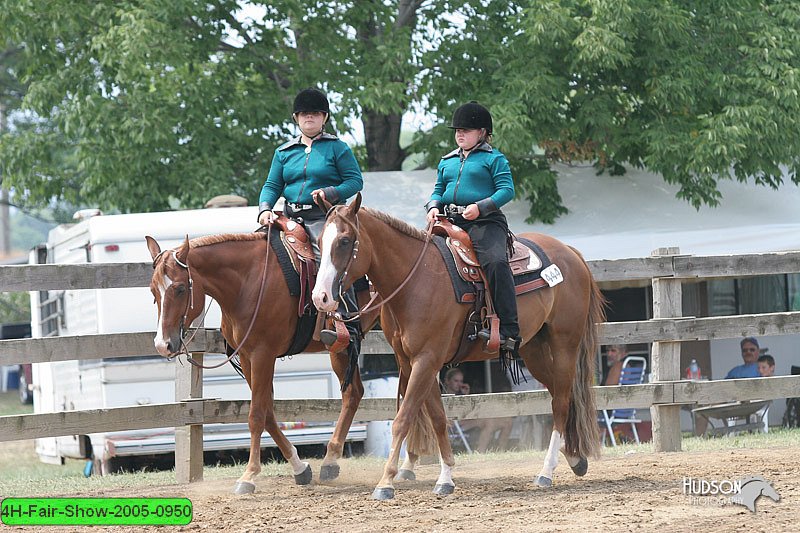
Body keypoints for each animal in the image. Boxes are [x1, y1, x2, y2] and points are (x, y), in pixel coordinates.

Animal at [145, 233, 378, 494]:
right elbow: (267, 413)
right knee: (354, 393)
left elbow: (256, 415)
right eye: (153, 290)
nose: (162, 344)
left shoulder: (262, 355)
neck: (249, 282)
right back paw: (332, 462)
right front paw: (300, 467)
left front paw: (248, 477)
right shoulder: (248, 358)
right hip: (342, 350)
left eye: (180, 288)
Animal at [312, 194, 608, 498]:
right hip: (534, 349)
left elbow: (403, 419)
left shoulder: (427, 359)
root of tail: (570, 252)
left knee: (561, 401)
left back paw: (546, 472)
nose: (320, 297)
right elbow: (438, 419)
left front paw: (386, 482)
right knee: (561, 396)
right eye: (320, 240)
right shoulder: (415, 362)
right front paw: (445, 478)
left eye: (345, 240)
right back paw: (575, 457)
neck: (417, 280)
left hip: (564, 344)